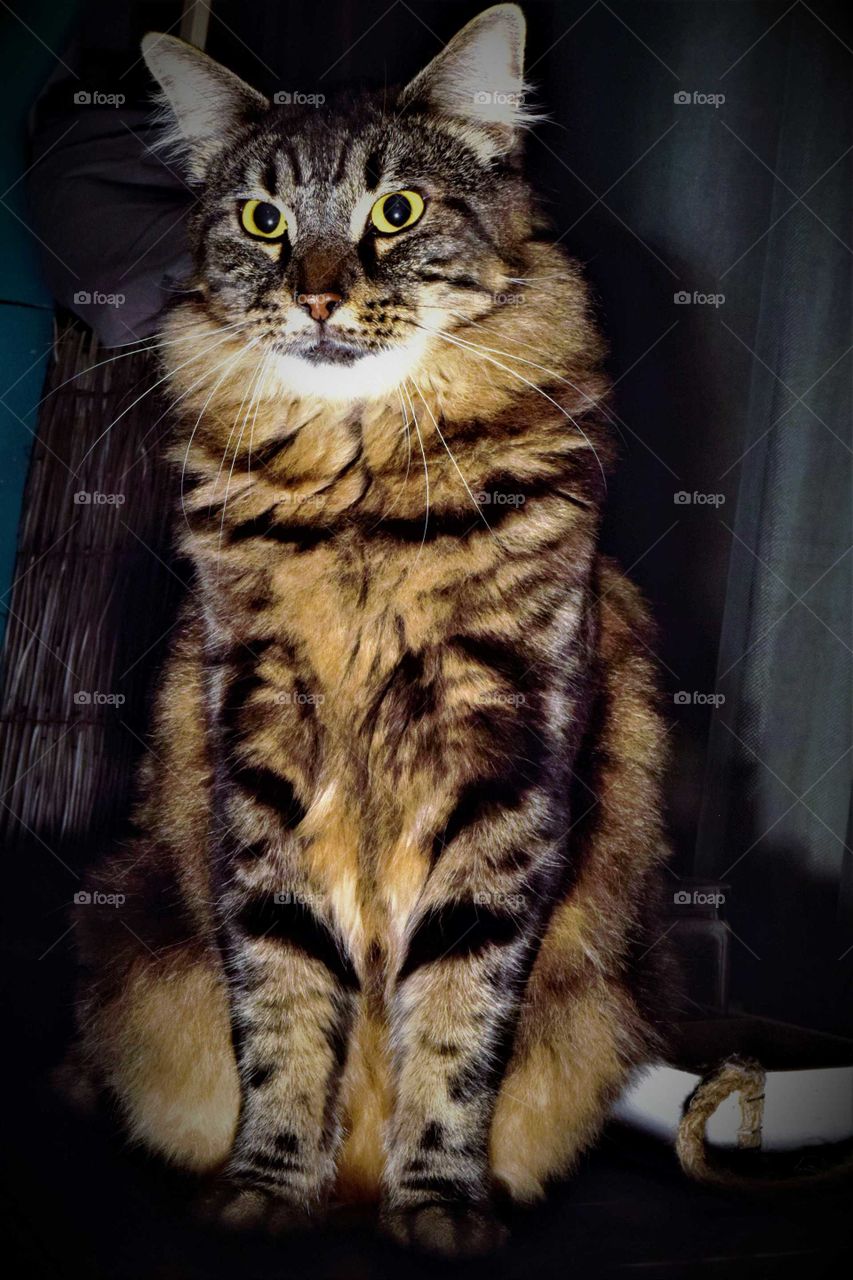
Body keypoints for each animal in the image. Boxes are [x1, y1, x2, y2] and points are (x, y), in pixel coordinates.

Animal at [71, 5, 671, 1254]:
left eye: (395, 210)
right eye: (262, 219)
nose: (316, 296)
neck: (361, 497)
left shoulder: (501, 762)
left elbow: (455, 1013)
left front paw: (436, 1200)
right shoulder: (260, 750)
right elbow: (286, 997)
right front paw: (266, 1184)